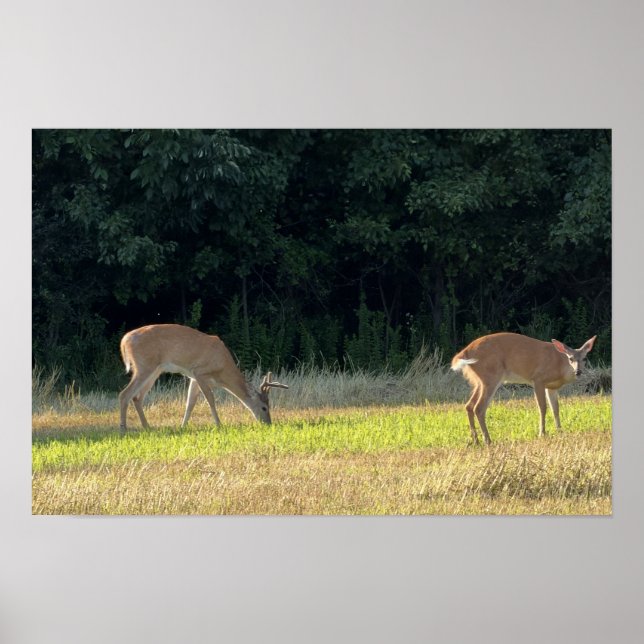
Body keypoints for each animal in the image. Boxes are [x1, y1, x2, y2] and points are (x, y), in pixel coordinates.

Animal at [118, 324, 288, 432]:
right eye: (264, 407)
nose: (268, 424)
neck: (222, 370)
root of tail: (124, 340)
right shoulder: (200, 372)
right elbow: (210, 400)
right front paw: (219, 425)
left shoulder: (193, 377)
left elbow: (190, 403)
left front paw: (183, 427)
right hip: (144, 366)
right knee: (124, 394)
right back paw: (123, 429)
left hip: (155, 369)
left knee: (137, 397)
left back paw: (147, 427)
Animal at [451, 332, 596, 445]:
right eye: (570, 358)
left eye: (585, 358)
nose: (578, 372)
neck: (559, 365)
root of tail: (464, 352)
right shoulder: (538, 379)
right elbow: (542, 407)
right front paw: (542, 433)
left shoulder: (551, 387)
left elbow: (555, 408)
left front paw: (560, 431)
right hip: (491, 375)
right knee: (479, 407)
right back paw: (488, 440)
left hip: (479, 381)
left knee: (469, 405)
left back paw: (476, 441)